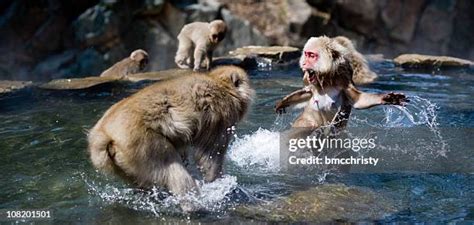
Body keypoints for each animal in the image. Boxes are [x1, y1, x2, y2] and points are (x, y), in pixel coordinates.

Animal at [87, 65, 254, 211]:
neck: (221, 85)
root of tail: (104, 133)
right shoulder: (221, 115)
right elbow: (209, 156)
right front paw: (217, 183)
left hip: (123, 161)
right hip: (141, 143)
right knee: (172, 169)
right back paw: (193, 206)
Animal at [276, 35, 410, 130]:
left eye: (312, 55)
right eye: (306, 54)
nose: (304, 63)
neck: (327, 78)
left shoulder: (344, 79)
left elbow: (358, 100)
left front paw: (386, 98)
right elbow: (307, 92)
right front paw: (283, 102)